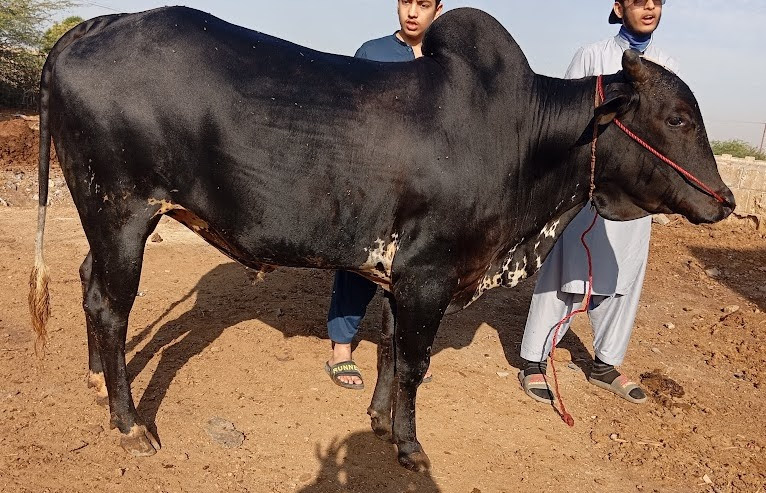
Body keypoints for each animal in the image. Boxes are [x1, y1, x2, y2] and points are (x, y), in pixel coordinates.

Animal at [29, 7, 734, 472]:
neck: (527, 140)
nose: (725, 200)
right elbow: (413, 364)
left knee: (89, 283)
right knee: (111, 306)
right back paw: (128, 423)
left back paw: (96, 381)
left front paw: (377, 422)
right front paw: (411, 447)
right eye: (677, 117)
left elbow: (393, 353)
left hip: (106, 219)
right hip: (122, 213)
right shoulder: (429, 275)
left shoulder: (403, 275)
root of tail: (88, 29)